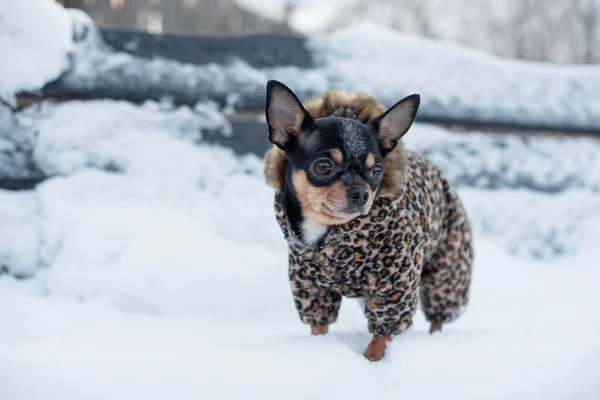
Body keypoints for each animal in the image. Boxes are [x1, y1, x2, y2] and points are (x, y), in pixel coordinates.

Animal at [262, 79, 474, 360]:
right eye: (323, 166)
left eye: (377, 171)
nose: (361, 192)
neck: (328, 231)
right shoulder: (311, 286)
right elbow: (319, 325)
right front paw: (320, 349)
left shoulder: (394, 286)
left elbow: (382, 333)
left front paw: (373, 361)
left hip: (447, 269)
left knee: (438, 316)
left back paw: (434, 341)